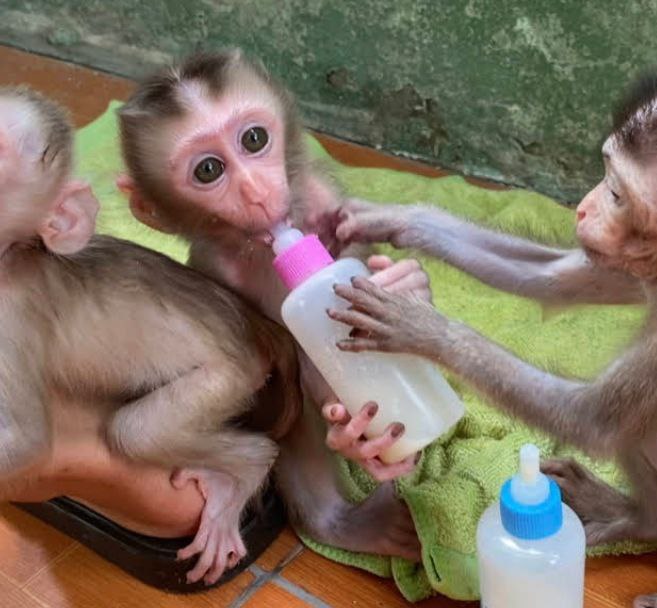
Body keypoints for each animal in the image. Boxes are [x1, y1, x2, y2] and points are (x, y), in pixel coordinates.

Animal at [0, 85, 302, 586]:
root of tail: (255, 323)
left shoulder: (11, 314)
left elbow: (26, 441)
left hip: (228, 378)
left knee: (138, 432)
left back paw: (242, 473)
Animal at [116, 50, 432, 560]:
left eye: (254, 139)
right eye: (208, 170)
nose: (258, 193)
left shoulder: (329, 205)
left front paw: (406, 288)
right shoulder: (214, 270)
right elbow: (288, 366)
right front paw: (357, 436)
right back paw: (342, 523)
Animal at [329, 75, 657, 608]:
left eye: (615, 193)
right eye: (608, 179)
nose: (583, 208)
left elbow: (591, 420)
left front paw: (422, 328)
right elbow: (554, 279)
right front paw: (397, 218)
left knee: (631, 421)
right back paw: (637, 519)